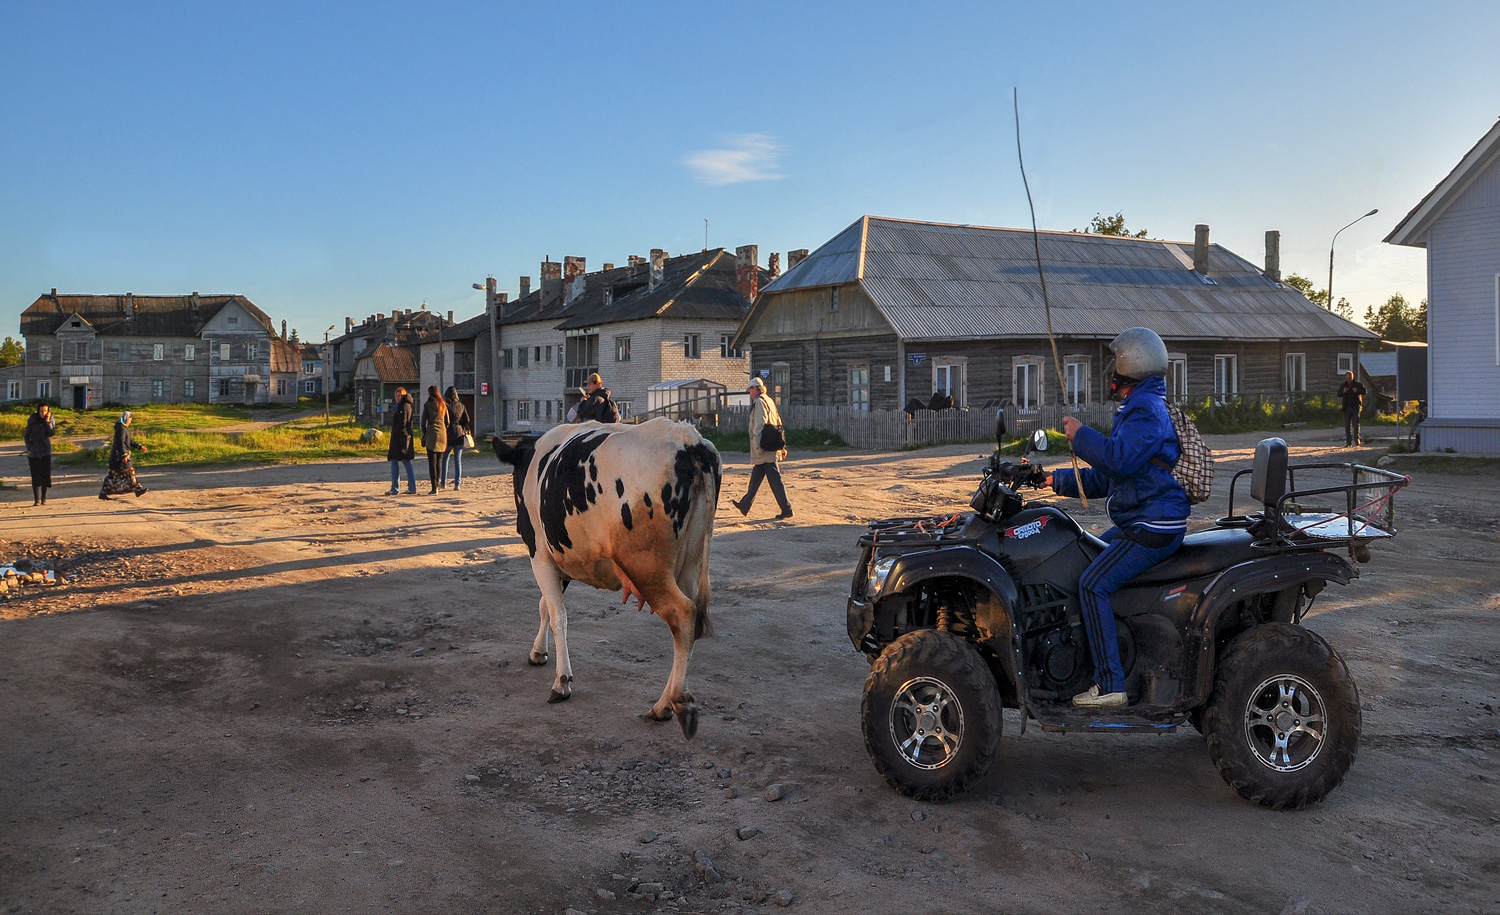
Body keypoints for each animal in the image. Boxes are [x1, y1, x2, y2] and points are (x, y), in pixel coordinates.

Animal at [492, 417, 720, 738]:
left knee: (683, 615)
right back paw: (663, 704)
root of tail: (690, 440)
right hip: (688, 563)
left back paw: (675, 704)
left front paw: (561, 681)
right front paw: (538, 652)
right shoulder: (562, 558)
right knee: (687, 629)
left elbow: (557, 614)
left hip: (648, 569)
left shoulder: (540, 554)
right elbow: (545, 608)